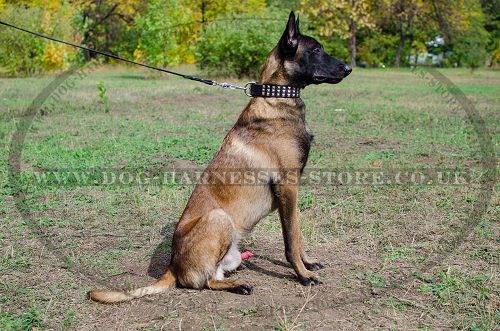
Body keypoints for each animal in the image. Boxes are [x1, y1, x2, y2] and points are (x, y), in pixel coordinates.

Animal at [90, 11, 354, 304]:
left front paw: (307, 263)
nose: (349, 68)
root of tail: (172, 265)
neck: (277, 99)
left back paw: (238, 282)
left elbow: (298, 233)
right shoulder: (287, 187)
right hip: (219, 218)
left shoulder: (292, 191)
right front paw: (303, 275)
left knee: (214, 276)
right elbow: (291, 239)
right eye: (316, 50)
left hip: (232, 251)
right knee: (203, 282)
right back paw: (237, 285)